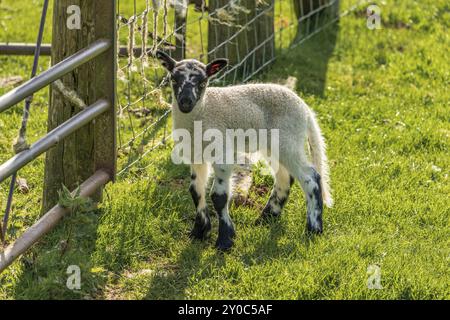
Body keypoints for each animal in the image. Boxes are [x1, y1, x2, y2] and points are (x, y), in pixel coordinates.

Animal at [156, 50, 332, 251]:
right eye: (173, 79)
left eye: (203, 82)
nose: (186, 102)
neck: (202, 112)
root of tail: (306, 110)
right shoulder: (196, 156)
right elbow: (195, 191)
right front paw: (199, 232)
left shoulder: (222, 153)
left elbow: (218, 196)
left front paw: (225, 240)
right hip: (273, 145)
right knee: (285, 178)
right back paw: (266, 218)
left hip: (289, 141)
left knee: (311, 177)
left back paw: (314, 228)